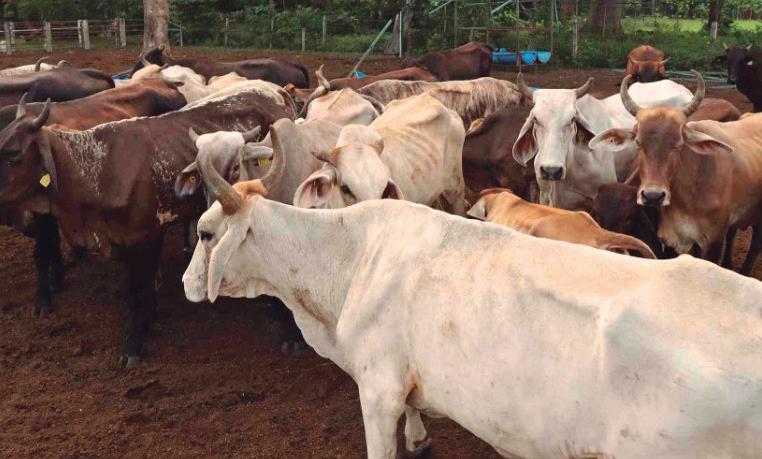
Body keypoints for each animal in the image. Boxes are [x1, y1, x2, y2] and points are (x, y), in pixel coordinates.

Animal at [0, 90, 293, 366]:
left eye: (13, 153)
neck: (99, 169)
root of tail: (276, 96)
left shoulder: (144, 236)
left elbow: (136, 290)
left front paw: (133, 344)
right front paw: (148, 318)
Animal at [589, 71, 762, 274]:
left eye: (678, 144)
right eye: (638, 142)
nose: (653, 196)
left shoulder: (713, 241)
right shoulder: (670, 239)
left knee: (755, 244)